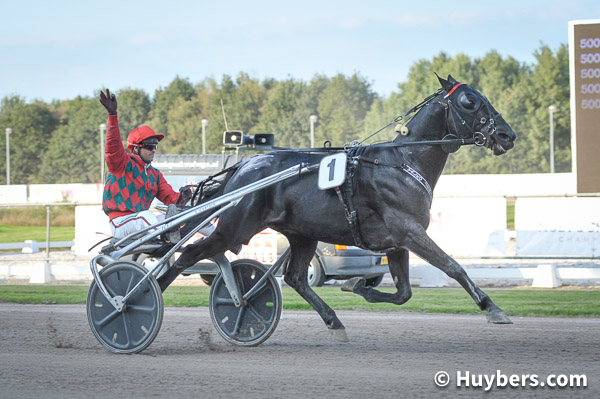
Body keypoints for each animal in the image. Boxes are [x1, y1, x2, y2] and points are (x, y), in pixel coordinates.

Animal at [158, 74, 516, 338]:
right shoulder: (409, 231)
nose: (507, 135)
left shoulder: (397, 241)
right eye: (469, 100)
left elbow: (403, 293)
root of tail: (241, 168)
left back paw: (333, 320)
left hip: (301, 234)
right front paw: (492, 308)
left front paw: (356, 285)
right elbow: (453, 266)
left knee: (295, 278)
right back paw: (147, 296)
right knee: (189, 254)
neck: (402, 162)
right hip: (236, 227)